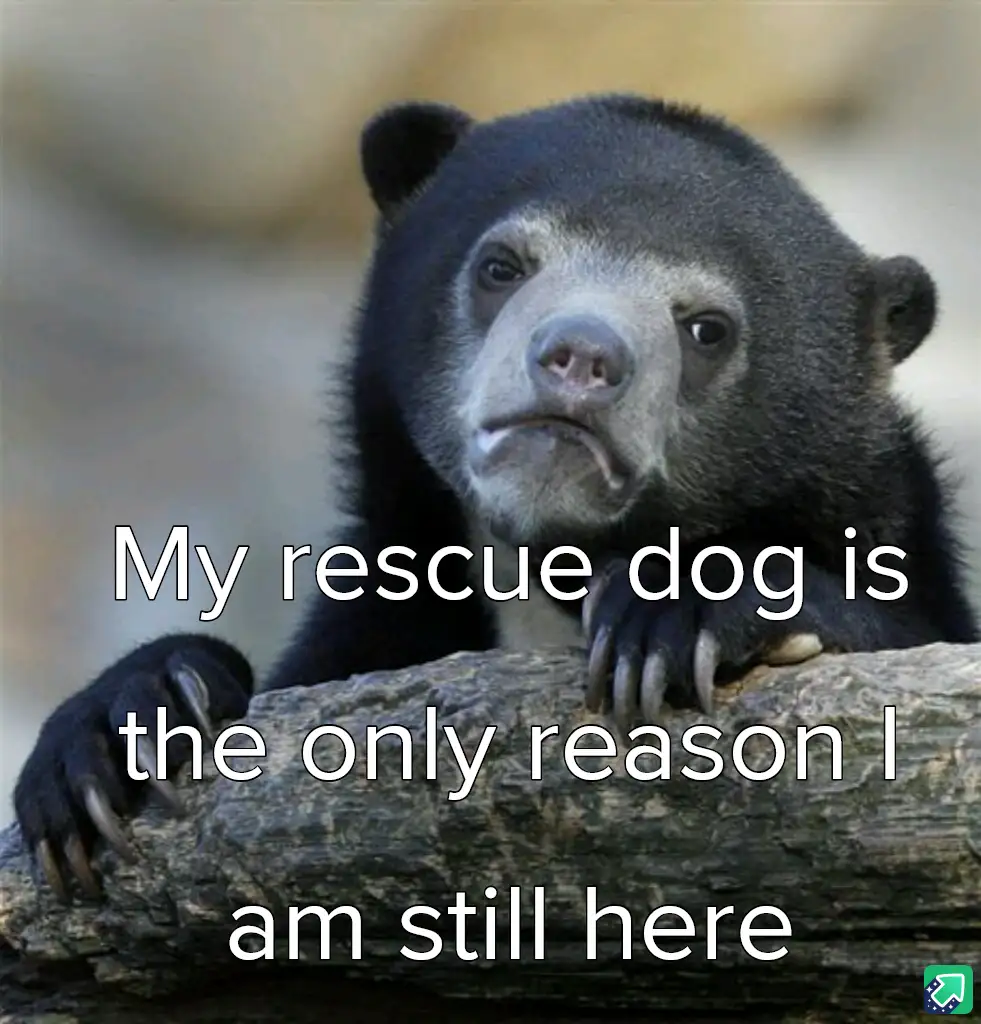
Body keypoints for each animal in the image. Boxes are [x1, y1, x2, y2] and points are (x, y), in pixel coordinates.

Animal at [13, 93, 979, 902]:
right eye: (501, 265)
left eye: (706, 328)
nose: (581, 358)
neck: (546, 569)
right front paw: (118, 730)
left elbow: (906, 624)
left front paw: (669, 620)